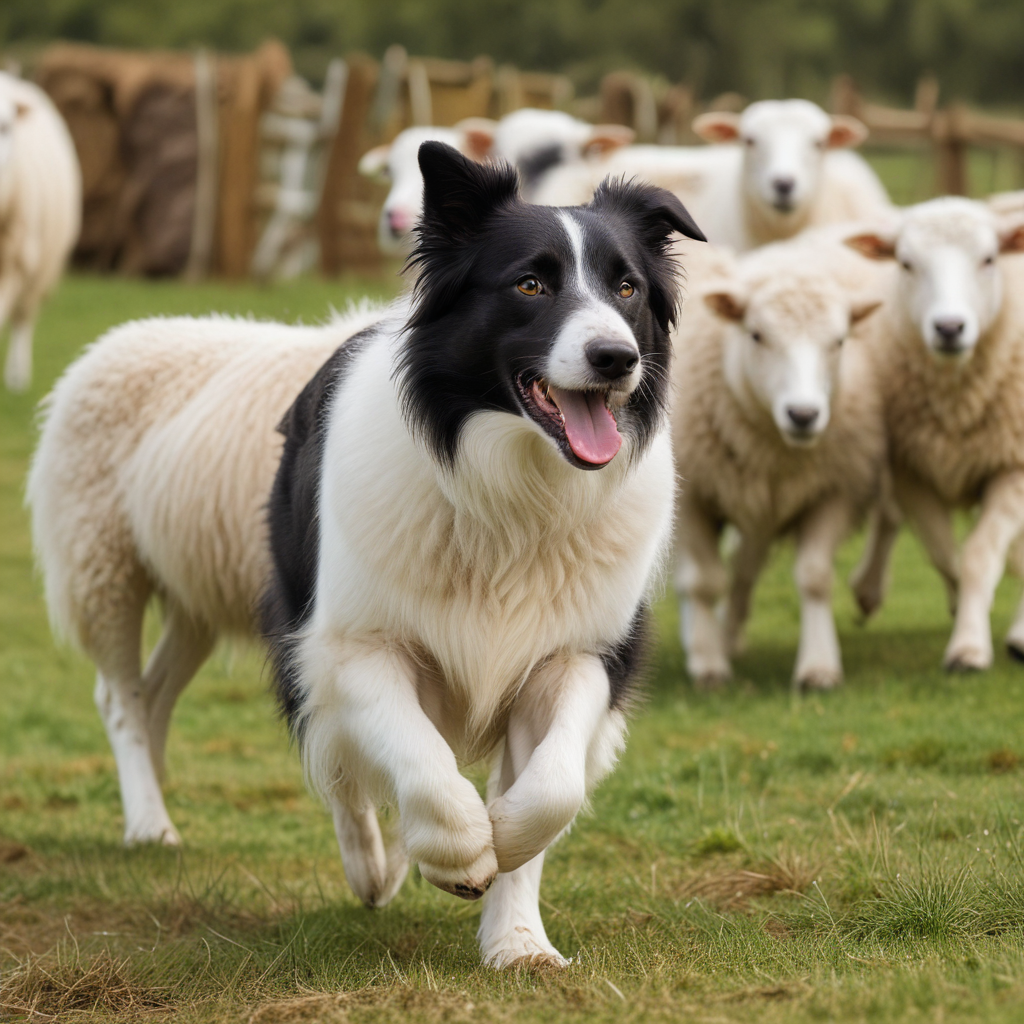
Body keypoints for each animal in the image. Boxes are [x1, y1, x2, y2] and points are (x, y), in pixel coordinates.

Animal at [27, 302, 384, 845]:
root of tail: (107, 344)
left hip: (191, 597)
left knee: (152, 692)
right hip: (102, 569)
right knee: (118, 699)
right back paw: (151, 824)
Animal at [672, 236, 885, 689]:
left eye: (840, 341)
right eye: (756, 335)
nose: (803, 415)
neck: (776, 449)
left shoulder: (834, 491)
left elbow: (815, 578)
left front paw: (819, 666)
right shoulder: (693, 495)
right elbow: (702, 581)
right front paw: (707, 662)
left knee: (744, 569)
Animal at [844, 197, 1024, 672]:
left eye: (989, 259)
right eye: (906, 263)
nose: (948, 328)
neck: (956, 399)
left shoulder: (1013, 468)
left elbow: (979, 555)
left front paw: (969, 649)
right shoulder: (911, 470)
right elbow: (946, 554)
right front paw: (967, 618)